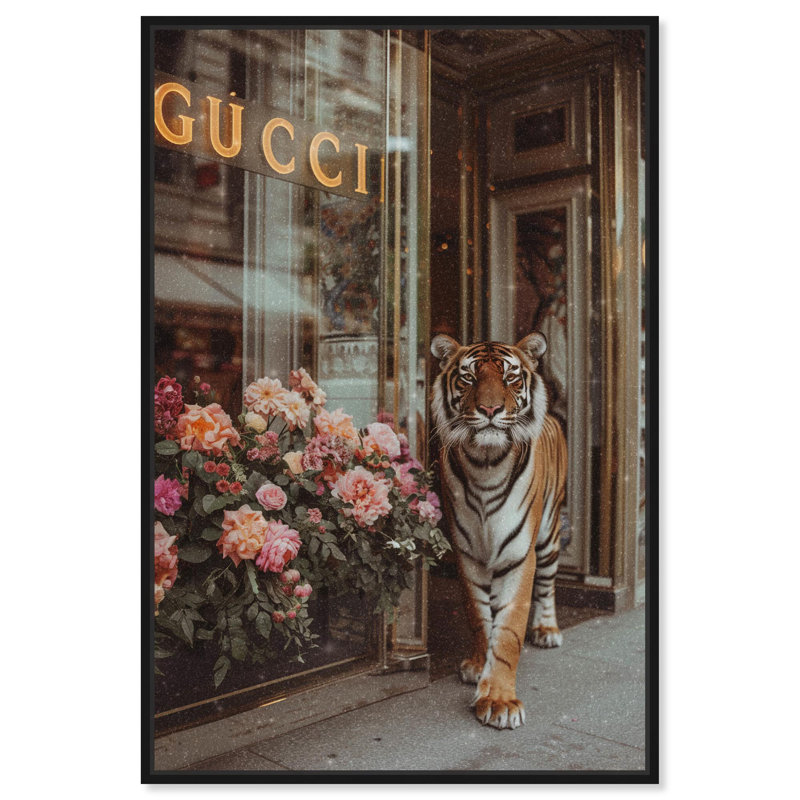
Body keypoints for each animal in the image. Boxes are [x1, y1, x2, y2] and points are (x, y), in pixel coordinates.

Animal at [430, 333, 567, 730]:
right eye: (468, 377)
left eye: (510, 377)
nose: (490, 410)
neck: (485, 463)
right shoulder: (468, 554)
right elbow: (480, 617)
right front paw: (479, 666)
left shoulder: (519, 556)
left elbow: (508, 632)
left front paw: (499, 701)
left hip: (550, 535)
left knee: (548, 585)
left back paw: (547, 630)